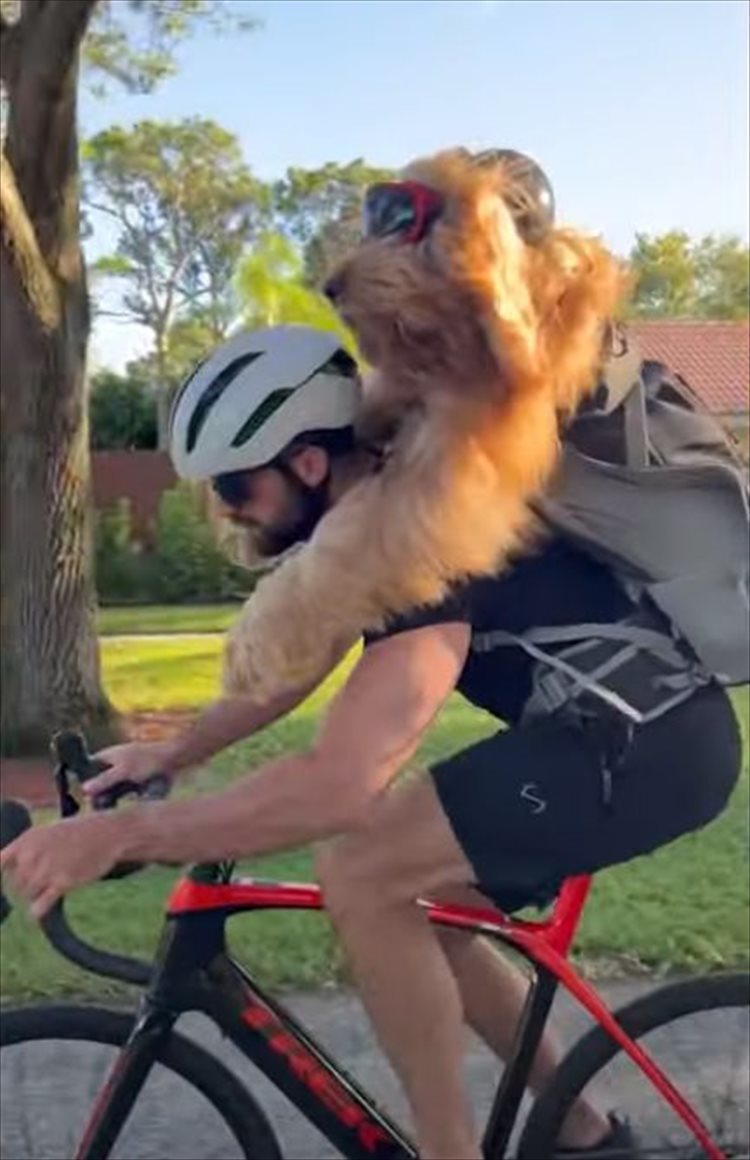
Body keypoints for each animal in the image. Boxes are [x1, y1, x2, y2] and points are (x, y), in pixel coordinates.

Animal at [221, 149, 625, 700]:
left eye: (403, 222)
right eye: (377, 215)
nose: (330, 286)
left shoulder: (446, 485)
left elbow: (343, 540)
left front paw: (251, 644)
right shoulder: (411, 392)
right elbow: (365, 406)